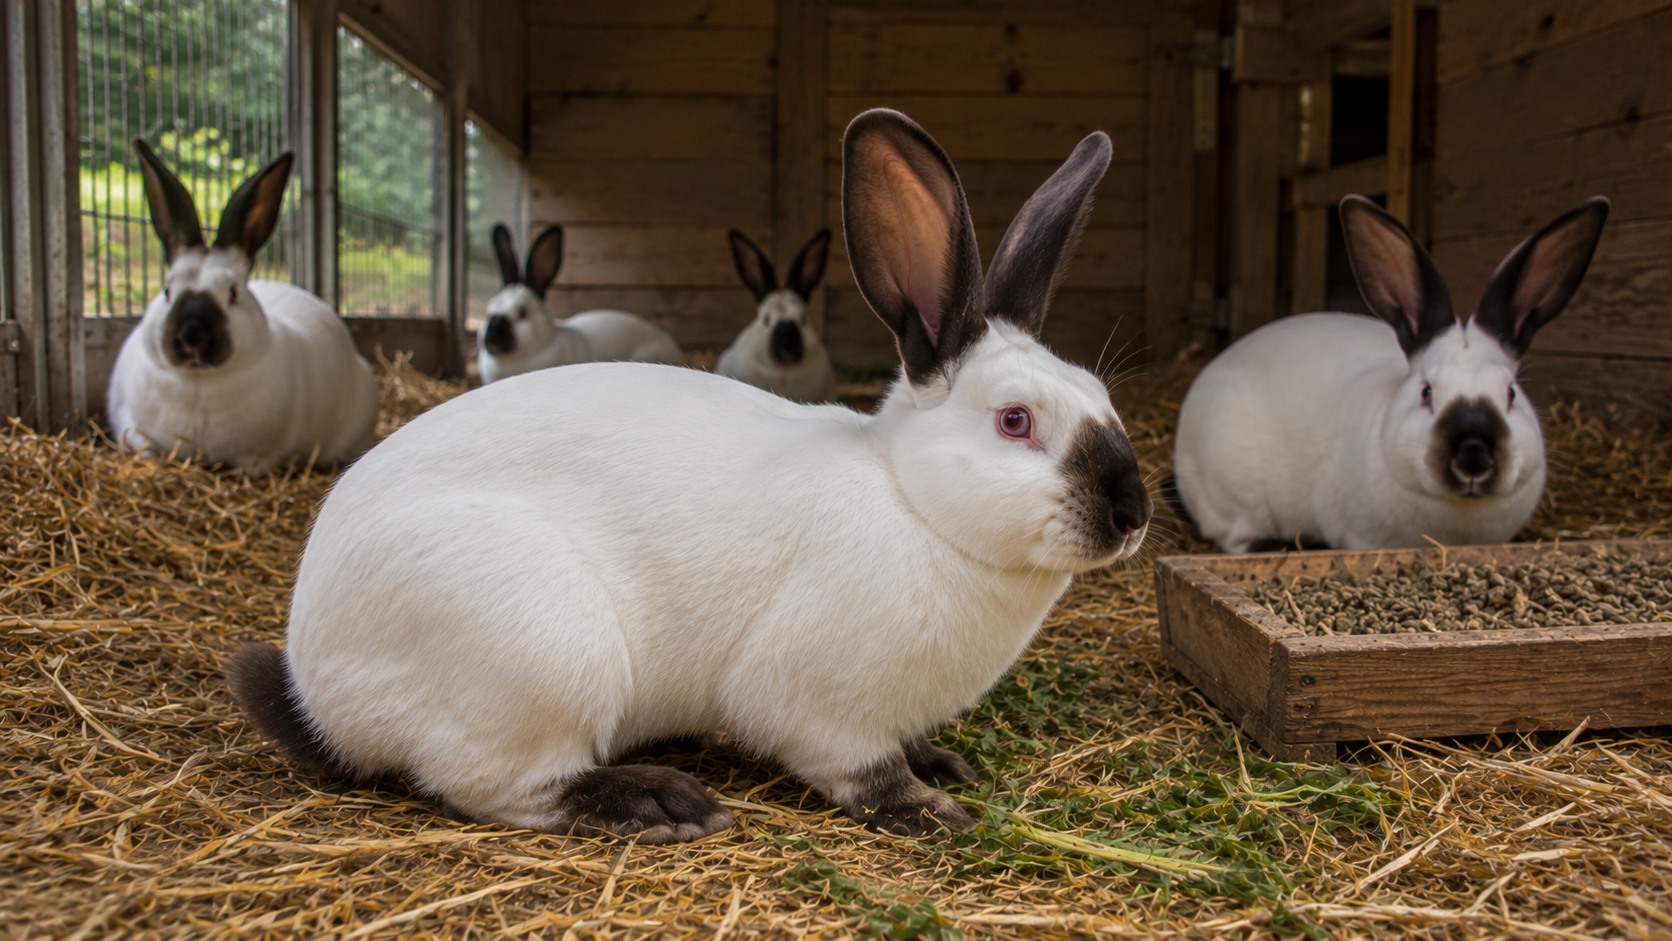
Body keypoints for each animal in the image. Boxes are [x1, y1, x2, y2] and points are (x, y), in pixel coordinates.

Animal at [106, 139, 378, 476]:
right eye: (168, 291)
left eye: (233, 293)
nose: (192, 333)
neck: (200, 383)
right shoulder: (130, 425)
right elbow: (143, 447)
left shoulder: (265, 454)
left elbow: (250, 467)